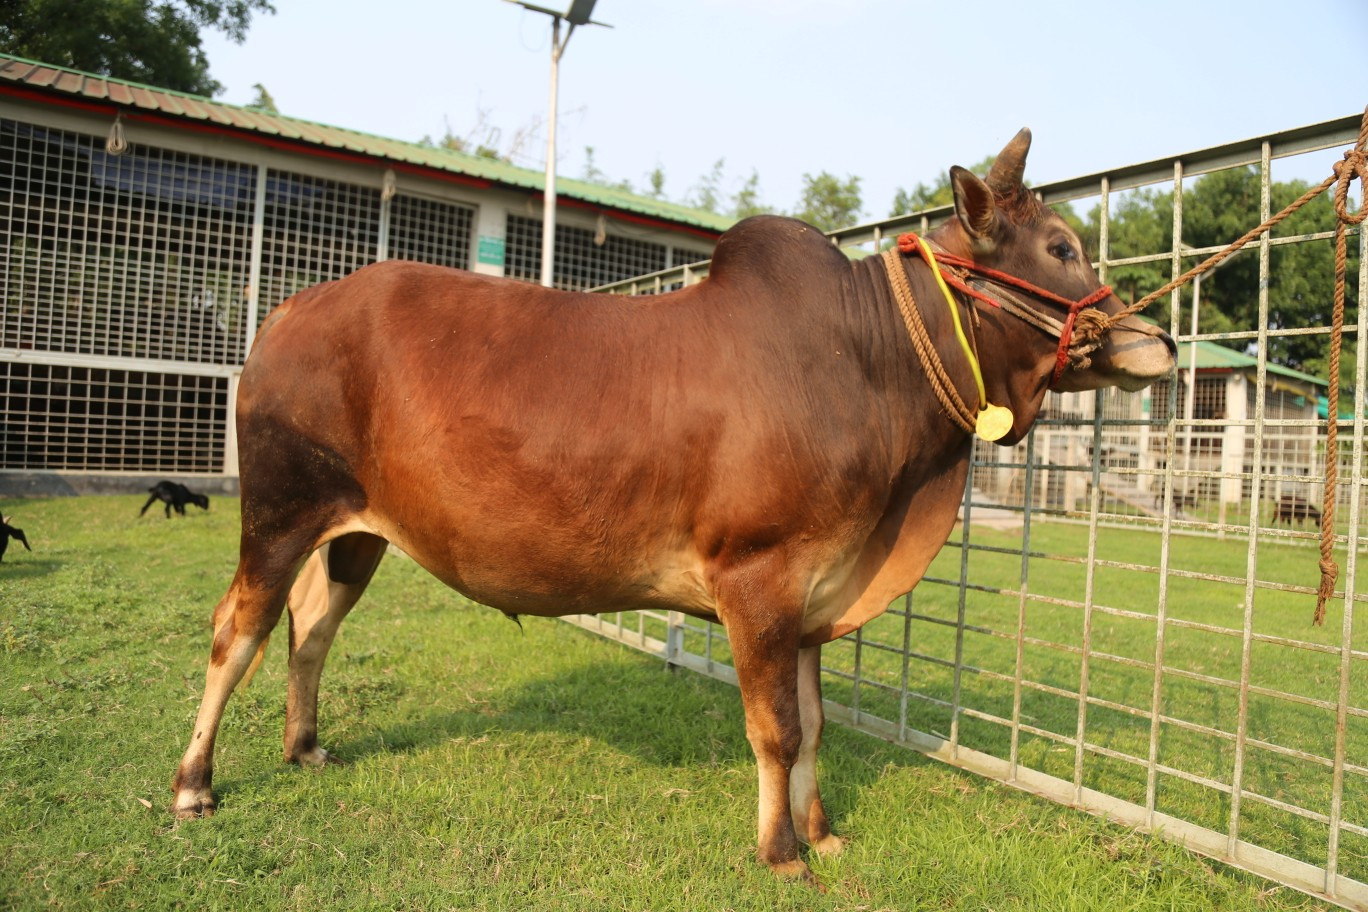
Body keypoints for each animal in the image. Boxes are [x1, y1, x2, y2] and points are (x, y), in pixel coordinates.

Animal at [171, 129, 1176, 884]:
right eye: (1060, 246)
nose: (1156, 340)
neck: (871, 363)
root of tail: (288, 311)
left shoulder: (814, 597)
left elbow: (814, 724)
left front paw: (823, 832)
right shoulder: (759, 577)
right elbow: (775, 729)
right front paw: (780, 853)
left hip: (357, 532)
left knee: (311, 625)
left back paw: (305, 746)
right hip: (278, 512)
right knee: (237, 629)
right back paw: (194, 784)